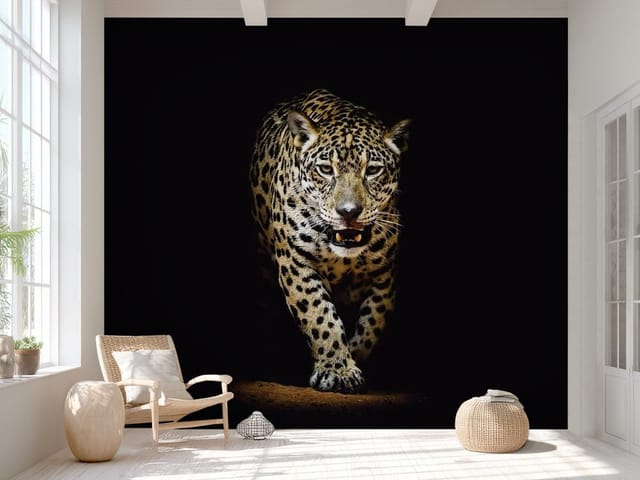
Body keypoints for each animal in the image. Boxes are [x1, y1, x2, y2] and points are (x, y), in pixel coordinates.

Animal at [249, 89, 410, 393]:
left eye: (372, 170)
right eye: (325, 169)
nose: (348, 212)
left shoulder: (384, 273)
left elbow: (373, 322)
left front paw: (355, 358)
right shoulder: (296, 262)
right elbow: (320, 316)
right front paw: (338, 370)